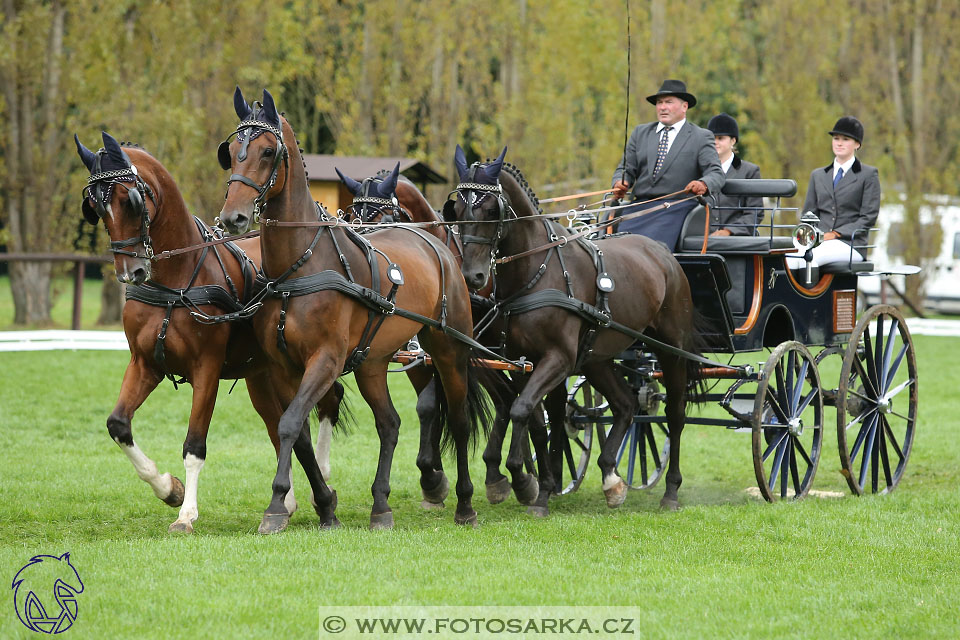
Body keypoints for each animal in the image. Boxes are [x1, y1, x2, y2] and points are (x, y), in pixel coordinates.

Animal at [76, 132, 344, 532]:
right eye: (95, 206)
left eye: (130, 200)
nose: (130, 273)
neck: (176, 280)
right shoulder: (144, 364)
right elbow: (118, 425)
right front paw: (168, 489)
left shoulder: (207, 369)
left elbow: (194, 445)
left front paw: (186, 514)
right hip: (261, 375)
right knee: (280, 426)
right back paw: (288, 502)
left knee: (326, 401)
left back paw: (321, 482)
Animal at [218, 89, 488, 528]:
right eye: (231, 153)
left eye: (267, 151)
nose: (233, 217)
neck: (301, 264)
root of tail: (438, 245)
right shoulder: (283, 366)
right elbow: (297, 432)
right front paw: (325, 504)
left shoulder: (325, 360)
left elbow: (290, 423)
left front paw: (277, 505)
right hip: (372, 362)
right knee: (390, 423)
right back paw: (381, 506)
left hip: (448, 349)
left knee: (461, 421)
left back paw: (465, 503)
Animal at [336, 168, 548, 512]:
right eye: (353, 215)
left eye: (381, 216)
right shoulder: (418, 357)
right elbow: (427, 408)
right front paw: (431, 475)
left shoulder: (450, 351)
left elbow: (430, 405)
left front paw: (433, 475)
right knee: (508, 398)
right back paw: (504, 473)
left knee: (516, 399)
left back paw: (517, 475)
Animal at [444, 145, 704, 510]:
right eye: (456, 210)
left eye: (492, 209)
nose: (473, 277)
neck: (536, 272)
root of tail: (662, 251)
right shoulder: (524, 362)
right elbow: (536, 418)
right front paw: (541, 487)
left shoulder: (558, 359)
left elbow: (522, 409)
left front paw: (522, 478)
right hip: (597, 358)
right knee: (625, 404)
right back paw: (611, 478)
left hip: (672, 350)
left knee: (675, 414)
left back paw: (670, 491)